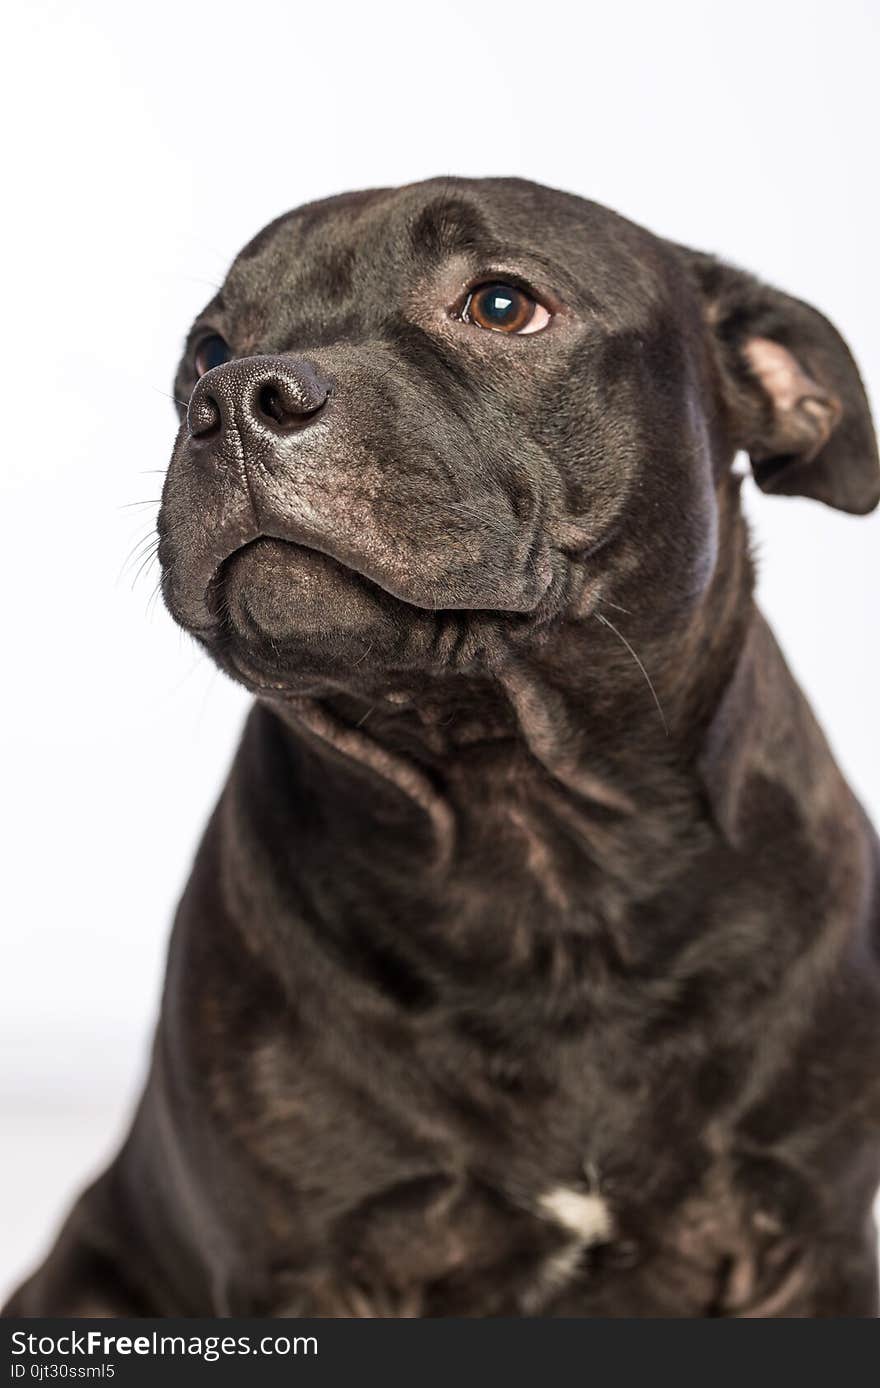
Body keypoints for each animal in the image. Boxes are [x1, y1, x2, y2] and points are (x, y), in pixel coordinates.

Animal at [6, 179, 877, 1315]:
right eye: (206, 349)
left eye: (501, 305)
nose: (234, 397)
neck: (532, 839)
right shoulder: (308, 1266)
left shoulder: (804, 1244)